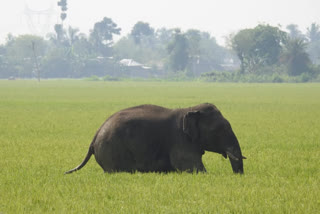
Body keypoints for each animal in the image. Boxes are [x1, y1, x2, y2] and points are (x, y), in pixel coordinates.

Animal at [64, 103, 245, 175]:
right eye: (221, 130)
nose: (238, 176)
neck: (190, 109)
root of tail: (94, 137)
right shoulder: (180, 140)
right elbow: (191, 167)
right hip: (112, 150)